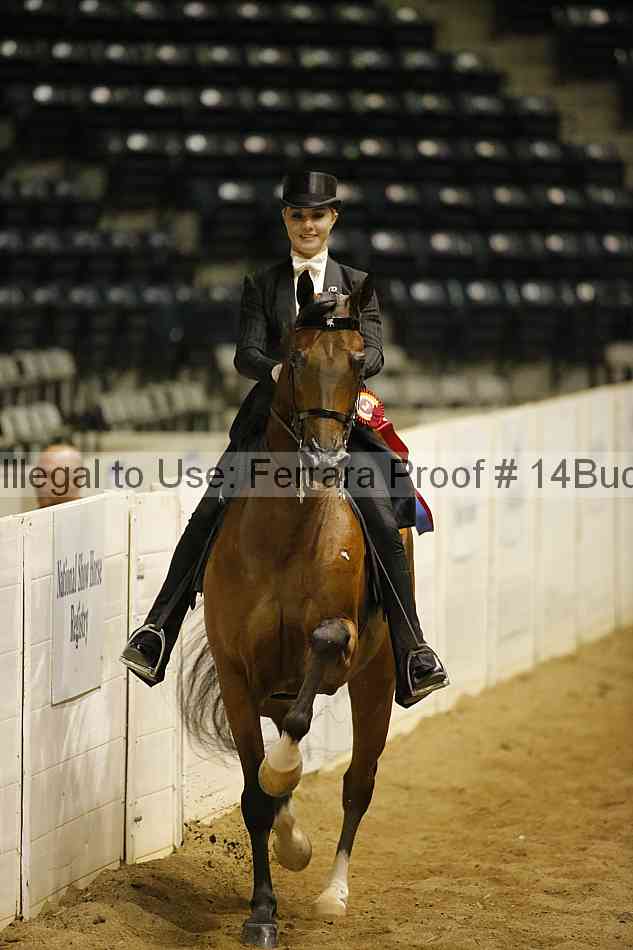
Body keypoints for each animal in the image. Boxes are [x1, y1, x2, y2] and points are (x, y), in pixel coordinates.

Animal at [184, 272, 415, 948]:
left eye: (360, 361)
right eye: (298, 359)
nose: (325, 462)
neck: (288, 528)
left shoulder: (338, 643)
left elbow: (317, 666)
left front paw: (285, 777)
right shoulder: (237, 673)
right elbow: (254, 795)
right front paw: (263, 910)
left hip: (377, 679)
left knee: (358, 782)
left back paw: (333, 893)